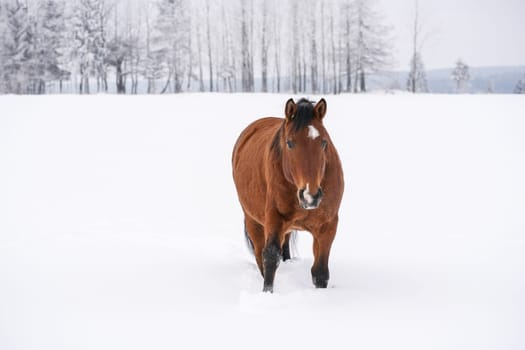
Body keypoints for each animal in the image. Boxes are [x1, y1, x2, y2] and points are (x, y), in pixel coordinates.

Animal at [233, 98, 344, 292]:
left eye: (324, 142)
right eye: (290, 143)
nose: (310, 196)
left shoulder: (328, 226)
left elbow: (320, 272)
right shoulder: (274, 219)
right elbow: (270, 258)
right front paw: (267, 293)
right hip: (253, 220)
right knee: (260, 255)